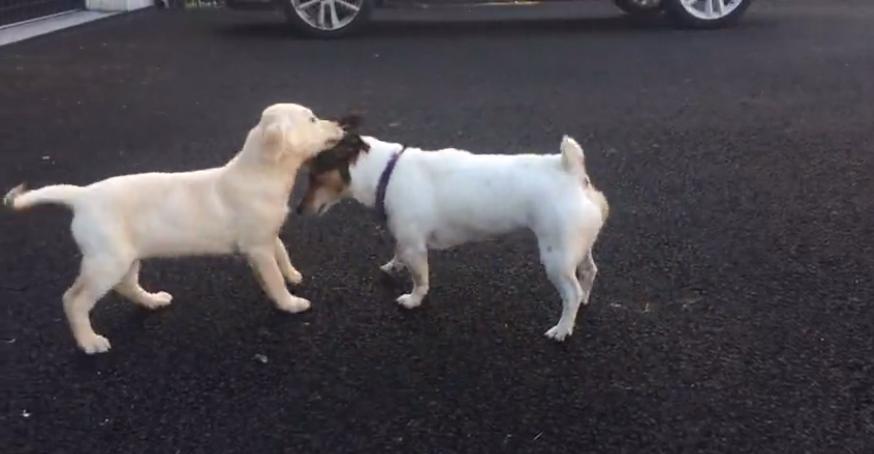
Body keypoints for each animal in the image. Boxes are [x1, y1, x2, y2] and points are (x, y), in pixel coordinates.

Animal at [4, 103, 344, 354]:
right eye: (312, 119)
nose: (341, 126)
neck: (260, 171)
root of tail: (81, 195)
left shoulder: (266, 235)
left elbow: (282, 251)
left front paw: (293, 274)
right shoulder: (257, 246)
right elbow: (273, 278)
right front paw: (289, 302)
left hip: (126, 256)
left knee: (126, 285)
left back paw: (152, 301)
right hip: (106, 261)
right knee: (73, 299)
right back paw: (89, 342)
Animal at [296, 132, 608, 340]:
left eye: (315, 177)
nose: (298, 210)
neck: (387, 171)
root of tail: (571, 172)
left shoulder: (415, 246)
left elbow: (420, 277)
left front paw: (413, 299)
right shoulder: (405, 235)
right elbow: (398, 252)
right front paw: (392, 266)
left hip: (556, 255)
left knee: (571, 293)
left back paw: (563, 328)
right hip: (576, 247)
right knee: (589, 271)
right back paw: (585, 301)